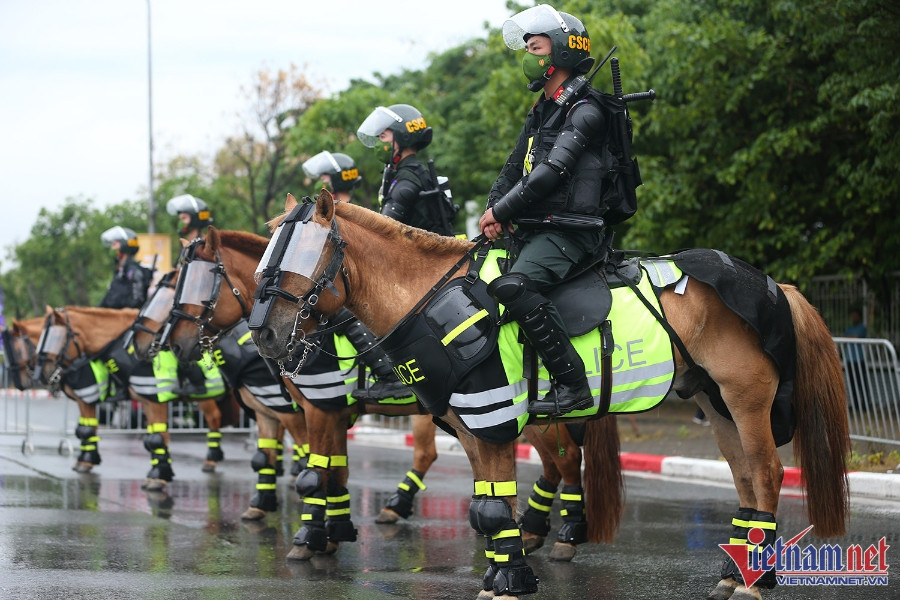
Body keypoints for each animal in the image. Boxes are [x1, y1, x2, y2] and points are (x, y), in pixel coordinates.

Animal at [32, 308, 232, 486]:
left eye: (56, 337)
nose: (41, 374)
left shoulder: (155, 400)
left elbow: (158, 437)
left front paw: (159, 476)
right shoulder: (142, 402)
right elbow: (90, 429)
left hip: (206, 397)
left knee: (214, 418)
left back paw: (211, 460)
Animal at [250, 191, 848, 600]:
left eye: (300, 257)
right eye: (263, 257)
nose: (264, 335)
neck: (429, 297)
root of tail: (774, 283)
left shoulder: (488, 420)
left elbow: (492, 508)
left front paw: (510, 580)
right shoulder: (471, 426)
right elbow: (488, 507)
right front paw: (498, 574)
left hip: (745, 398)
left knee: (766, 472)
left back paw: (755, 579)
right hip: (711, 401)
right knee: (744, 474)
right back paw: (734, 570)